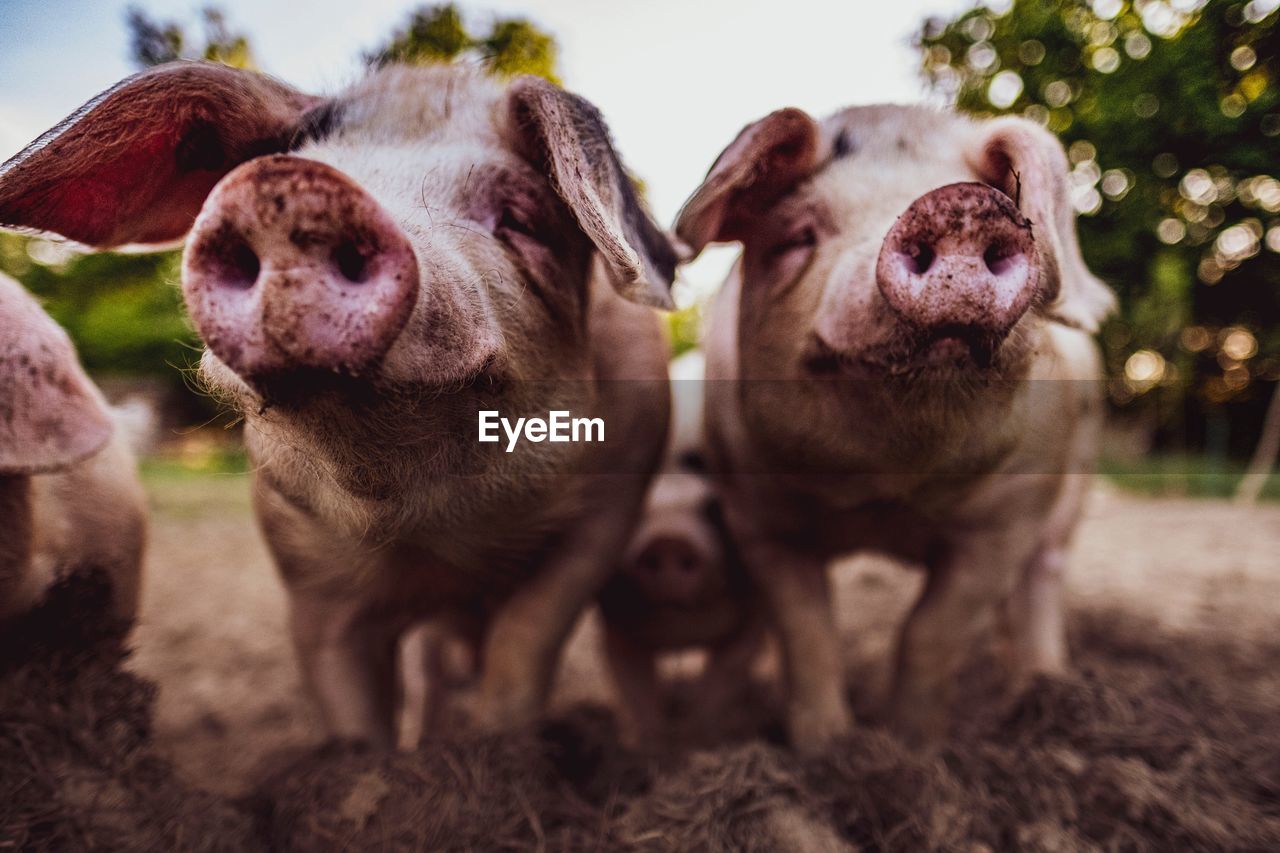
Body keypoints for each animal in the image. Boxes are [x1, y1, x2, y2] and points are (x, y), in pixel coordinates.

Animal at [596, 348, 762, 742]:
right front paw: (649, 745)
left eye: (715, 507)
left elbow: (725, 677)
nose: (668, 538)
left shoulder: (754, 612)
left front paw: (700, 742)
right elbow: (634, 686)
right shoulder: (614, 619)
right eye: (636, 503)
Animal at [680, 106, 1111, 753]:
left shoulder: (1008, 518)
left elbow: (930, 630)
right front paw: (825, 748)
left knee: (1042, 577)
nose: (959, 202)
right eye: (797, 237)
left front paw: (913, 747)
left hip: (1072, 487)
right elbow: (808, 631)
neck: (885, 497)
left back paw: (1044, 692)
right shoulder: (757, 519)